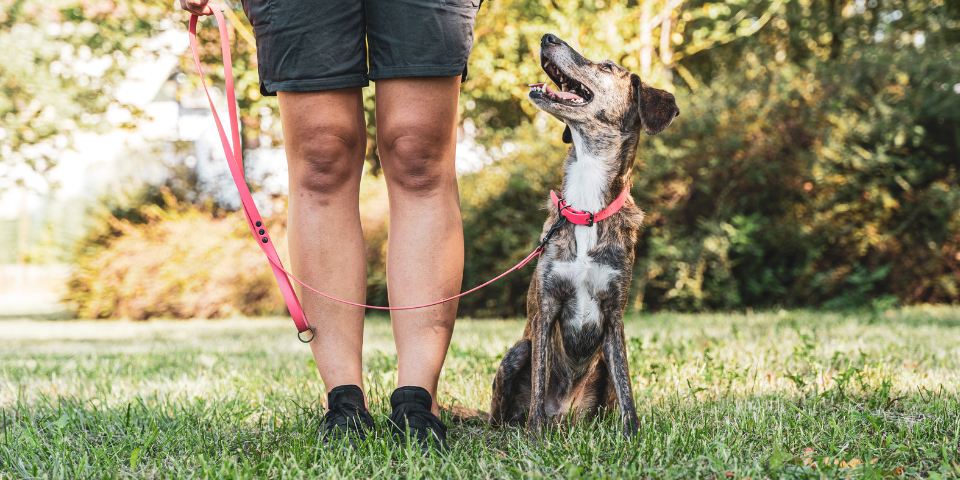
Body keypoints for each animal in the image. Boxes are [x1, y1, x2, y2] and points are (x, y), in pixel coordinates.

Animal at [488, 33, 684, 438]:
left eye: (606, 67)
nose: (548, 37)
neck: (586, 207)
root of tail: (566, 416)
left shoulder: (614, 315)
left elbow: (626, 387)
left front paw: (632, 436)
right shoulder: (546, 308)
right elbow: (540, 377)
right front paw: (535, 438)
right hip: (517, 352)